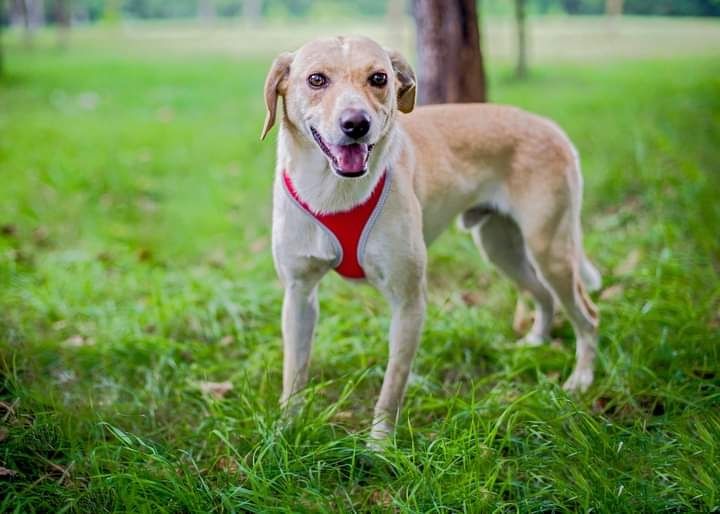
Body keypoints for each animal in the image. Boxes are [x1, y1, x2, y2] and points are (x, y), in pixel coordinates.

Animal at [260, 37, 600, 444]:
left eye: (379, 78)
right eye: (316, 79)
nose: (356, 124)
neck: (333, 192)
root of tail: (549, 126)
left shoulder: (408, 300)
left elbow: (392, 385)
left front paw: (379, 445)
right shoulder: (299, 294)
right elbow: (294, 374)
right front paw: (286, 430)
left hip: (549, 250)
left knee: (588, 316)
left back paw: (581, 378)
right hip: (502, 249)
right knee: (544, 295)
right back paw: (536, 341)